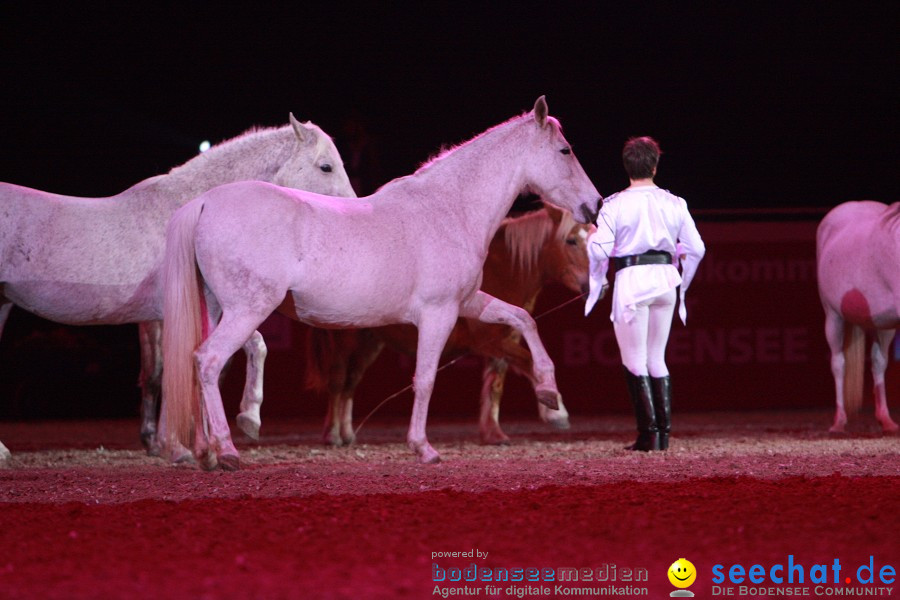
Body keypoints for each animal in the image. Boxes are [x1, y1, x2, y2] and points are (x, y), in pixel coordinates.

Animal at [0, 115, 352, 460]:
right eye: (326, 166)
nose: (351, 210)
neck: (190, 211)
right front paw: (179, 445)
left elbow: (248, 347)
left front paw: (245, 420)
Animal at [306, 206, 596, 446]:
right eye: (571, 240)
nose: (598, 286)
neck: (503, 269)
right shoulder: (491, 342)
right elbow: (528, 362)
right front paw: (555, 411)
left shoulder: (504, 343)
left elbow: (496, 385)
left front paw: (493, 432)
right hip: (345, 340)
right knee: (338, 380)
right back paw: (333, 434)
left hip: (370, 342)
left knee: (351, 382)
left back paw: (347, 433)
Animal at [820, 200, 896, 432]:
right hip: (833, 318)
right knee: (838, 363)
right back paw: (839, 422)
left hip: (883, 325)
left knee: (878, 362)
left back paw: (886, 420)